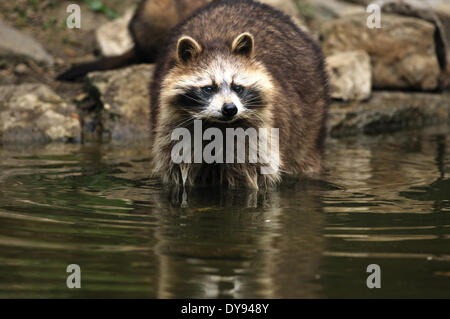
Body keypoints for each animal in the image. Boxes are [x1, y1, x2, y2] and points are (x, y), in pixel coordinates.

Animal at [152, 0, 330, 190]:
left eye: (237, 87)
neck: (217, 126)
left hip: (311, 121)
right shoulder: (176, 132)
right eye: (209, 88)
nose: (230, 108)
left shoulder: (256, 136)